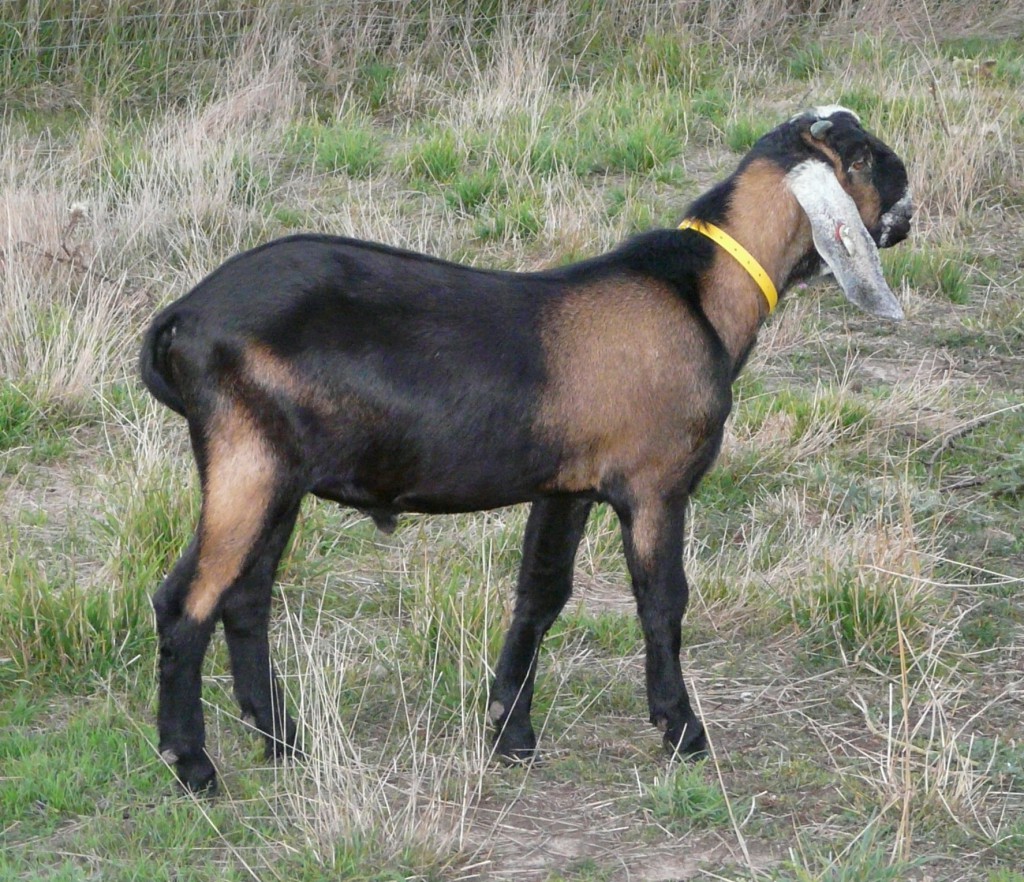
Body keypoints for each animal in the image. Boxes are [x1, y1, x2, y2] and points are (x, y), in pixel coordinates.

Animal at [140, 106, 913, 792]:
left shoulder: (567, 485)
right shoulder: (655, 482)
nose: (908, 206)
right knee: (187, 600)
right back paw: (193, 764)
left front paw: (509, 733)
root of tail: (183, 318)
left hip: (278, 474)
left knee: (245, 599)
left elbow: (540, 595)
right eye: (866, 157)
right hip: (250, 461)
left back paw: (285, 743)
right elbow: (663, 600)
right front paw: (682, 731)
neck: (698, 293)